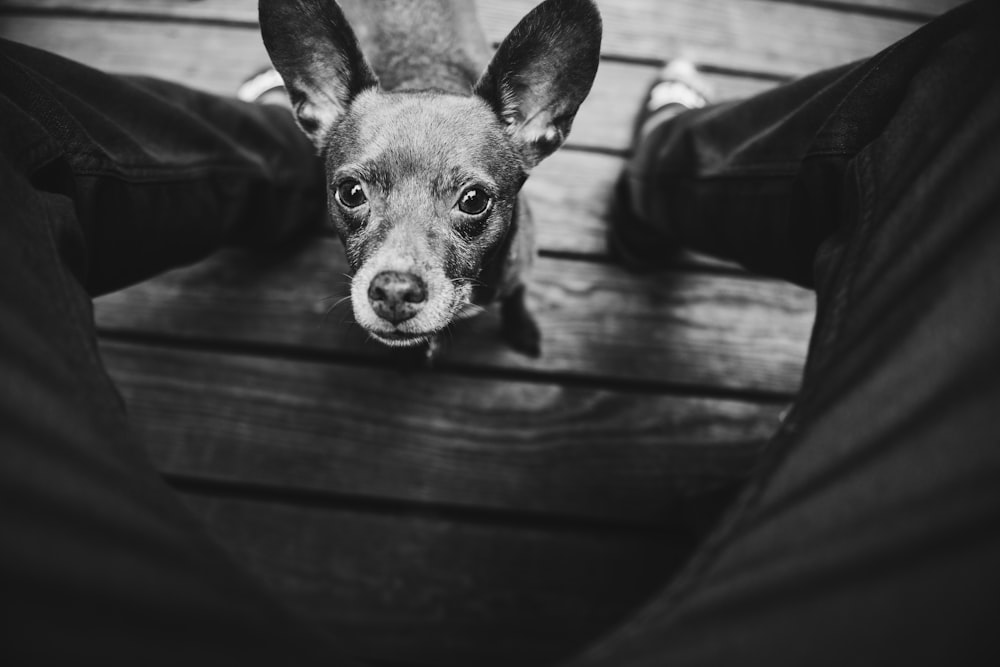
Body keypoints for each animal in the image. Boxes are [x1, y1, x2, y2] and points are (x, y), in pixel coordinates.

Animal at [258, 0, 600, 358]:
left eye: (474, 200)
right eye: (351, 193)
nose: (394, 290)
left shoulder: (518, 272)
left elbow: (516, 298)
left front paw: (520, 328)